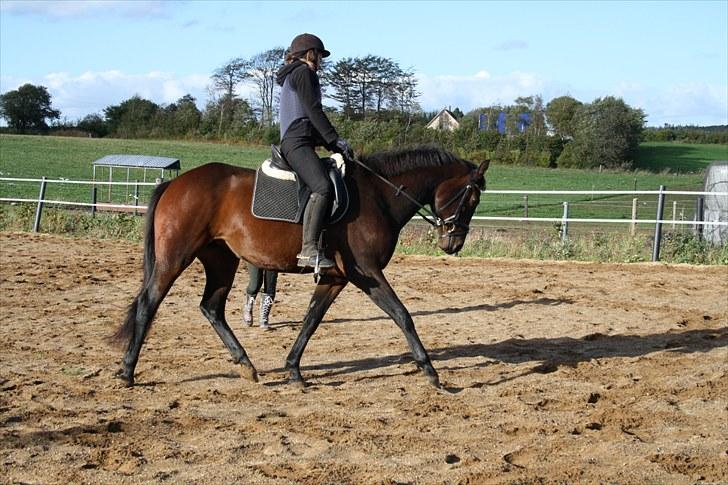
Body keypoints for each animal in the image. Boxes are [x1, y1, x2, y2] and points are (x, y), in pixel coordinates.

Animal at [114, 146, 490, 388]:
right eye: (471, 198)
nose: (453, 244)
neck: (378, 196)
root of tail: (174, 183)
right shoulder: (366, 273)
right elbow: (402, 314)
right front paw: (431, 372)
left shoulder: (336, 278)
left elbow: (311, 320)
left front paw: (293, 370)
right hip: (175, 257)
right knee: (149, 303)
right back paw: (128, 372)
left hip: (221, 259)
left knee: (212, 307)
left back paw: (247, 365)